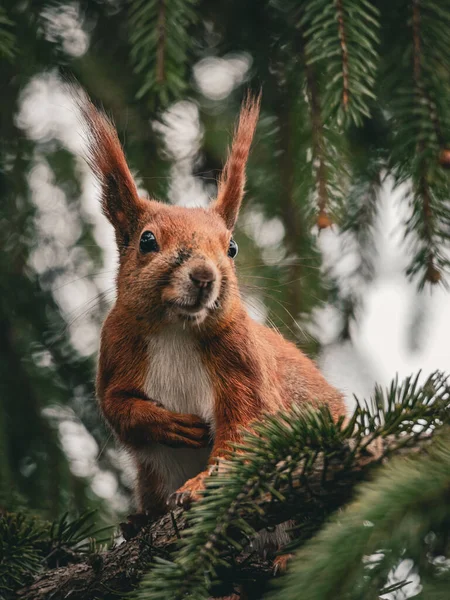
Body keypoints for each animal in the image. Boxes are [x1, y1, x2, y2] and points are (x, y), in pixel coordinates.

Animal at [81, 91, 346, 516]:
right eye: (147, 241)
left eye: (232, 247)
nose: (205, 276)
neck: (176, 328)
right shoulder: (116, 349)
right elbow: (118, 409)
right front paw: (168, 424)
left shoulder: (243, 363)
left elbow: (245, 430)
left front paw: (200, 486)